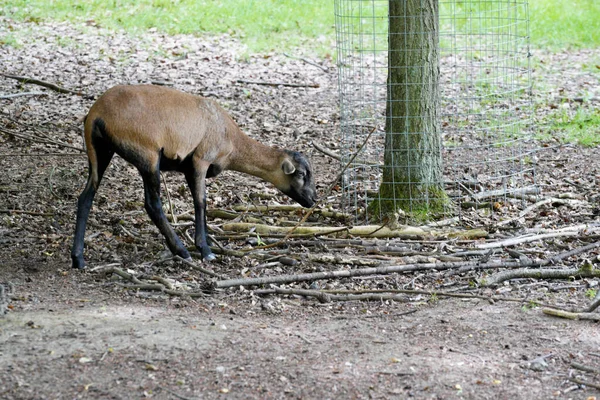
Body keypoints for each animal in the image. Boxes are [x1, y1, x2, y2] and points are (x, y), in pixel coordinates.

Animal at [71, 86, 318, 270]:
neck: (232, 139)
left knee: (85, 197)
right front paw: (205, 250)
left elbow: (201, 204)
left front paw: (207, 242)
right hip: (147, 156)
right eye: (302, 174)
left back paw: (78, 259)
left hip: (100, 152)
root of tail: (96, 113)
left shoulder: (189, 169)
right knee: (153, 204)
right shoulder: (200, 159)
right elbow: (201, 202)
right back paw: (180, 250)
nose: (313, 200)